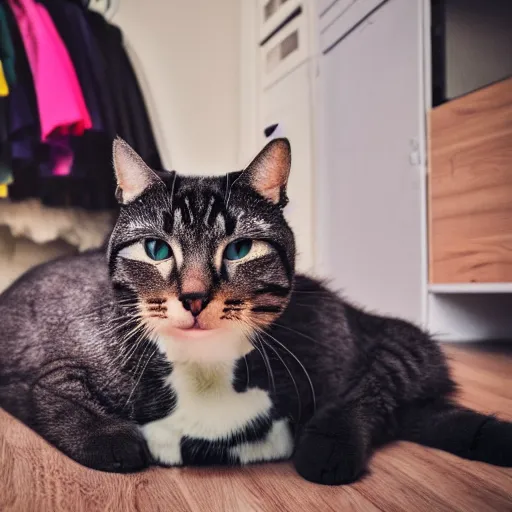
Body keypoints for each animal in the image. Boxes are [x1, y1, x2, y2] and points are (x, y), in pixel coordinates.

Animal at [1, 137, 512, 484]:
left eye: (240, 249)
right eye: (156, 249)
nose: (194, 297)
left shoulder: (391, 336)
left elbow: (367, 390)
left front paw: (328, 445)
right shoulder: (36, 369)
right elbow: (58, 394)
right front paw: (111, 436)